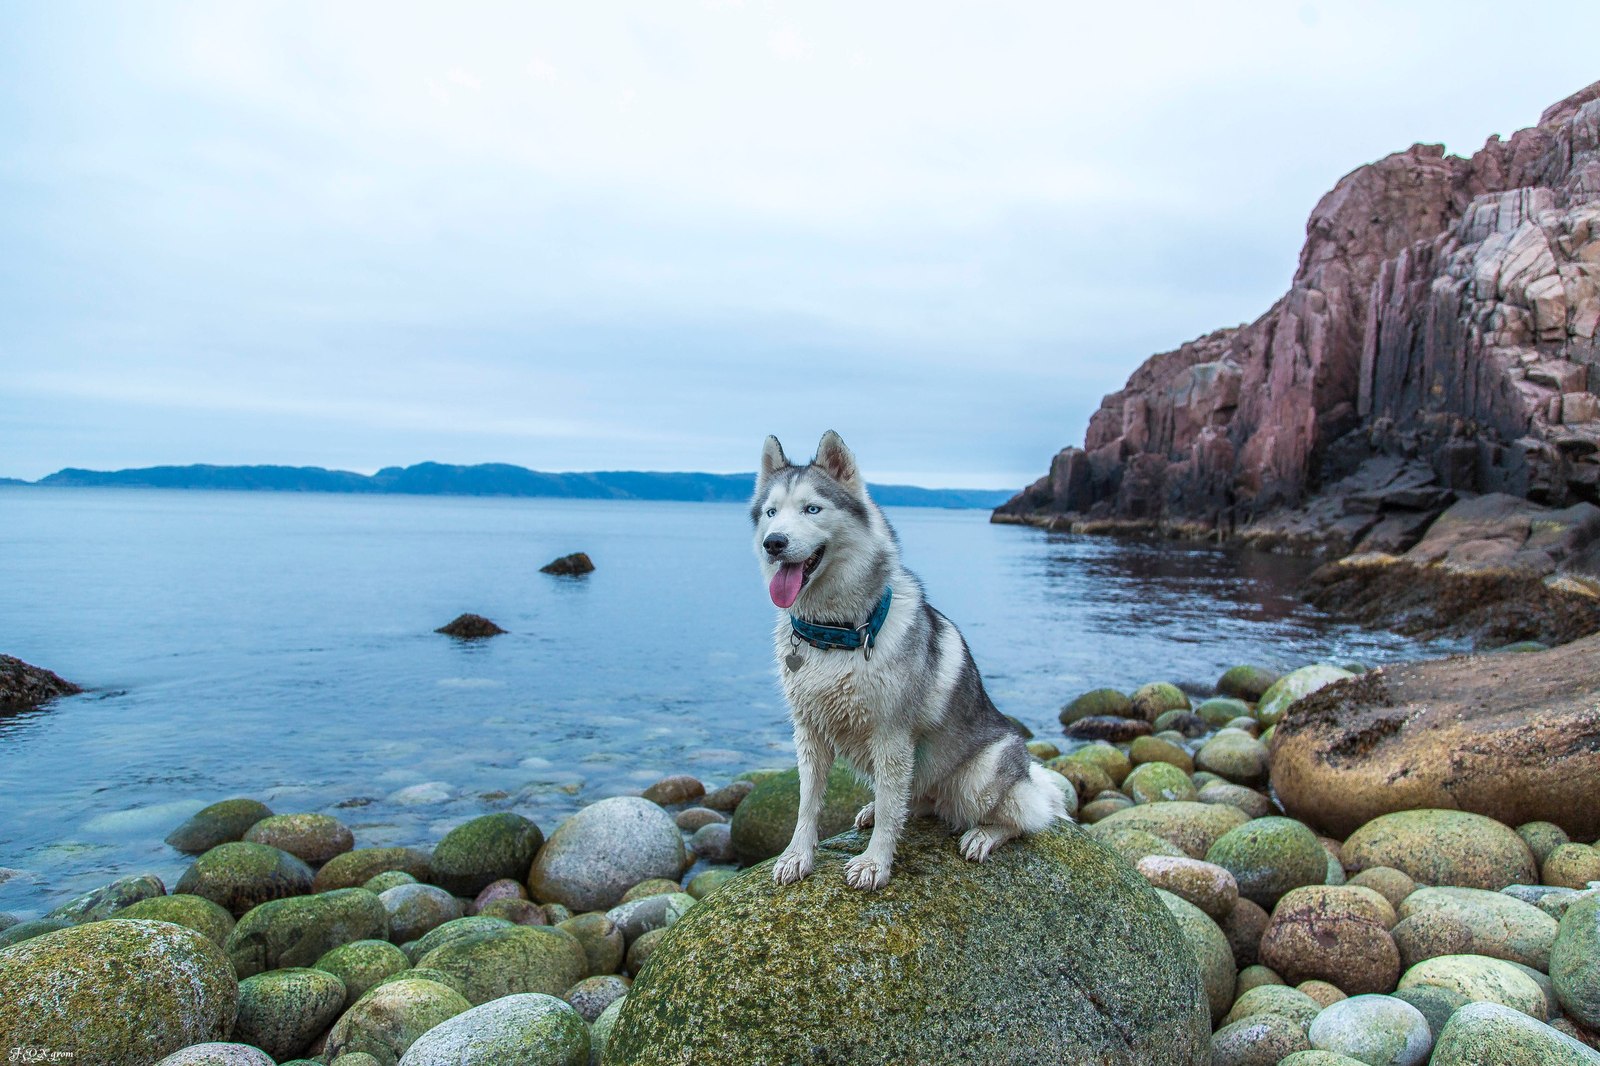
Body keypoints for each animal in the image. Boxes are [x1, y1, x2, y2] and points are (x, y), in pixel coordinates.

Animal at [745, 428, 1062, 883]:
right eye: (771, 513)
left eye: (811, 508)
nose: (774, 543)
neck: (838, 634)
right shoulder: (809, 733)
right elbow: (808, 804)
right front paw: (797, 855)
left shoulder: (891, 735)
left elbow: (891, 808)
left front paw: (876, 863)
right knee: (914, 801)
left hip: (981, 779)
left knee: (1025, 817)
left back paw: (984, 835)